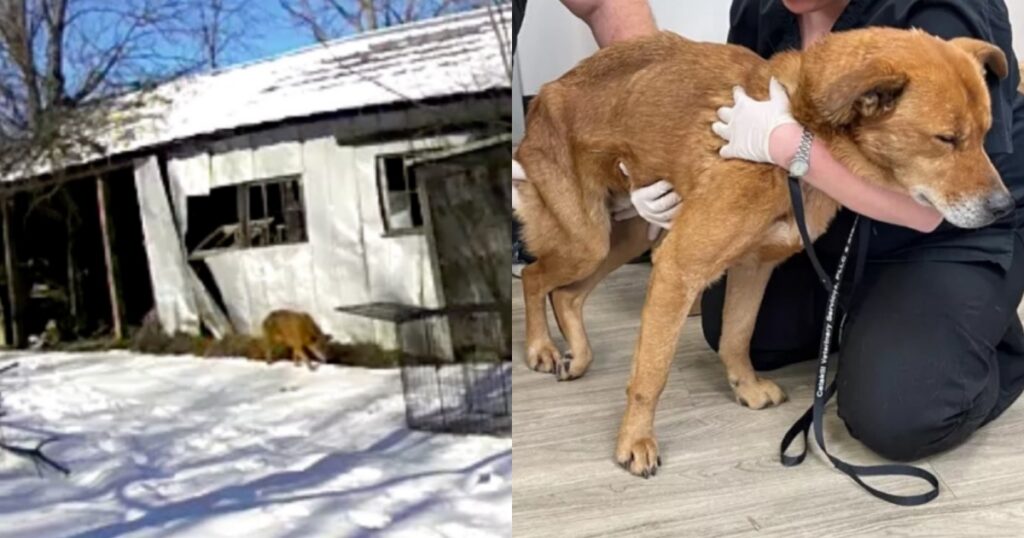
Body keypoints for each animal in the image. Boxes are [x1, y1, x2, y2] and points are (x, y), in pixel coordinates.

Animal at [516, 27, 1011, 475]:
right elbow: (651, 373)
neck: (801, 131)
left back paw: (576, 354)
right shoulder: (678, 268)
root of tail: (548, 91)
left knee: (567, 294)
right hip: (588, 239)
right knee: (535, 277)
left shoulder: (755, 267)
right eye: (946, 139)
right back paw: (541, 348)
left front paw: (746, 387)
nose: (1005, 207)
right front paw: (635, 440)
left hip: (627, 235)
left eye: (986, 134)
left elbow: (737, 336)